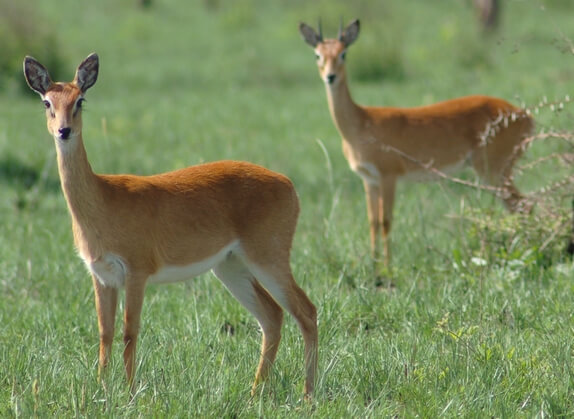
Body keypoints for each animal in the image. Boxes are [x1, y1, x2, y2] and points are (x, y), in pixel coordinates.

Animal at [23, 52, 320, 398]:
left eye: (80, 100)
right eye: (47, 102)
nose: (64, 130)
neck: (103, 200)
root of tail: (289, 185)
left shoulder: (137, 271)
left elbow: (130, 331)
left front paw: (129, 393)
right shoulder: (102, 275)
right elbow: (105, 333)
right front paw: (101, 390)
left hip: (268, 258)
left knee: (306, 311)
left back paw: (307, 394)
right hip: (231, 266)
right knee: (273, 316)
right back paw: (254, 392)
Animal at [302, 18, 536, 270]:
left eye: (343, 53)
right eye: (317, 54)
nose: (330, 77)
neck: (360, 123)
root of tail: (525, 116)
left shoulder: (389, 176)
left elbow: (386, 221)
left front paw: (387, 270)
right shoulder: (369, 179)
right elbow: (373, 222)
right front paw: (374, 267)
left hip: (493, 172)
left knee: (523, 205)